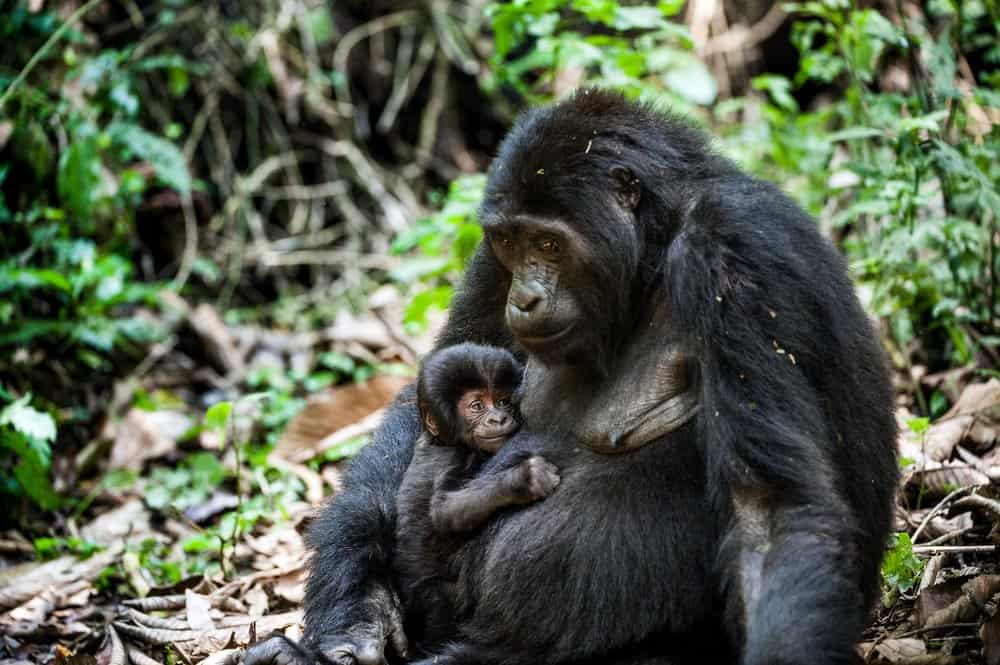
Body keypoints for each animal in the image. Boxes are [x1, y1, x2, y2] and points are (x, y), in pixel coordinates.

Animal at [392, 344, 564, 644]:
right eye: (477, 406)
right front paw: (525, 478)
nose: (499, 418)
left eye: (504, 402)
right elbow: (445, 510)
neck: (440, 440)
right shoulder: (452, 456)